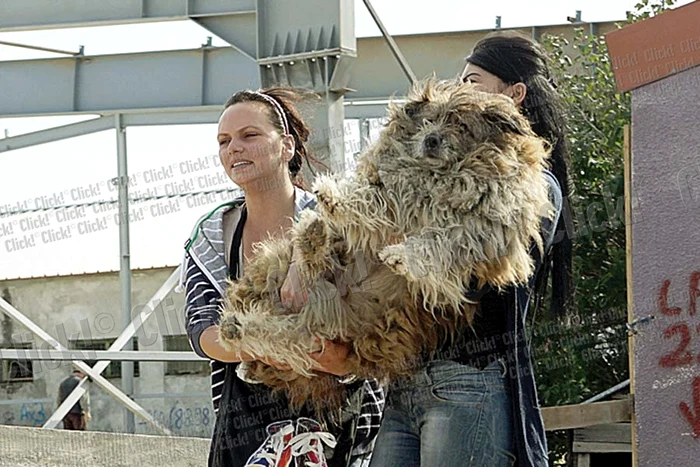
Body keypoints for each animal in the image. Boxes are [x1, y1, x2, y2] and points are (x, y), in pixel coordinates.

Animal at [219, 79, 552, 416]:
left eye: (461, 125)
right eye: (429, 120)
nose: (431, 140)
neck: (444, 176)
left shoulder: (483, 233)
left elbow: (439, 242)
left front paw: (401, 256)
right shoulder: (394, 194)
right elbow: (374, 199)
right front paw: (334, 197)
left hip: (326, 331)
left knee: (287, 338)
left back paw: (244, 322)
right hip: (279, 264)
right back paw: (309, 242)